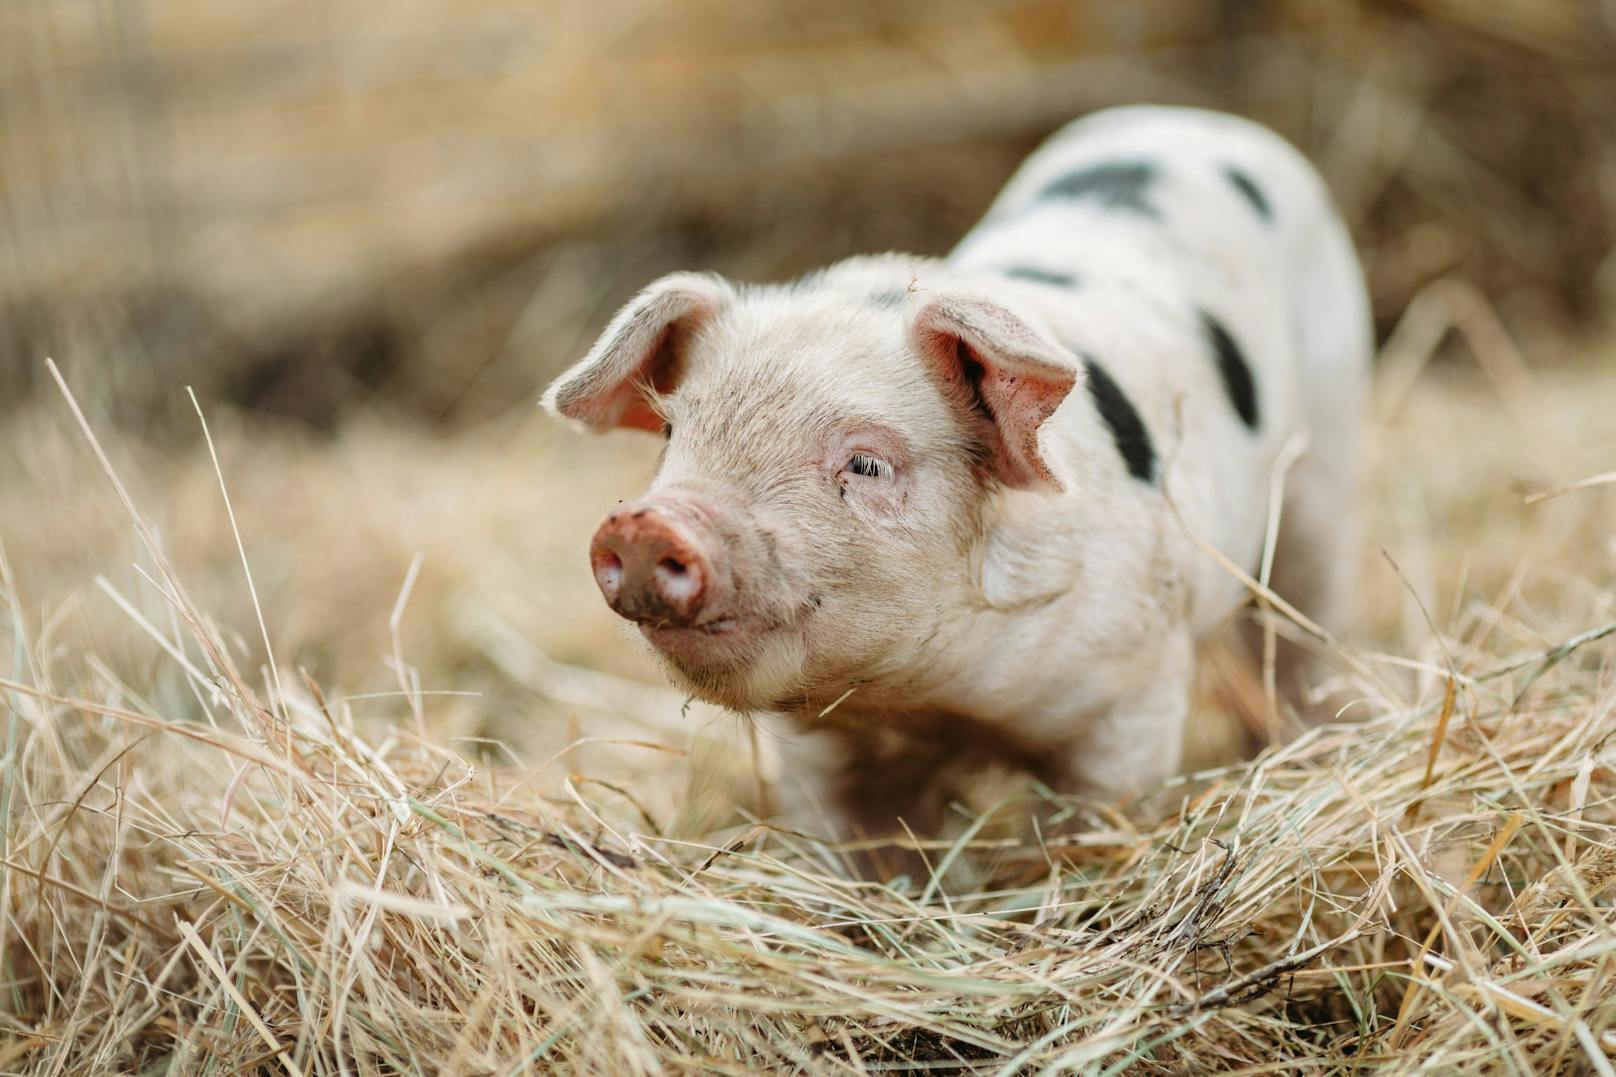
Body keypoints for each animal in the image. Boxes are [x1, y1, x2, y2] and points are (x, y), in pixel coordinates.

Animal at [539, 109, 1363, 840]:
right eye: (673, 432)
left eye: (867, 462)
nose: (645, 524)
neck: (929, 701)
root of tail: (1197, 120)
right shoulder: (817, 747)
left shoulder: (1132, 695)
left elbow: (1096, 822)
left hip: (1324, 464)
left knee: (1304, 624)